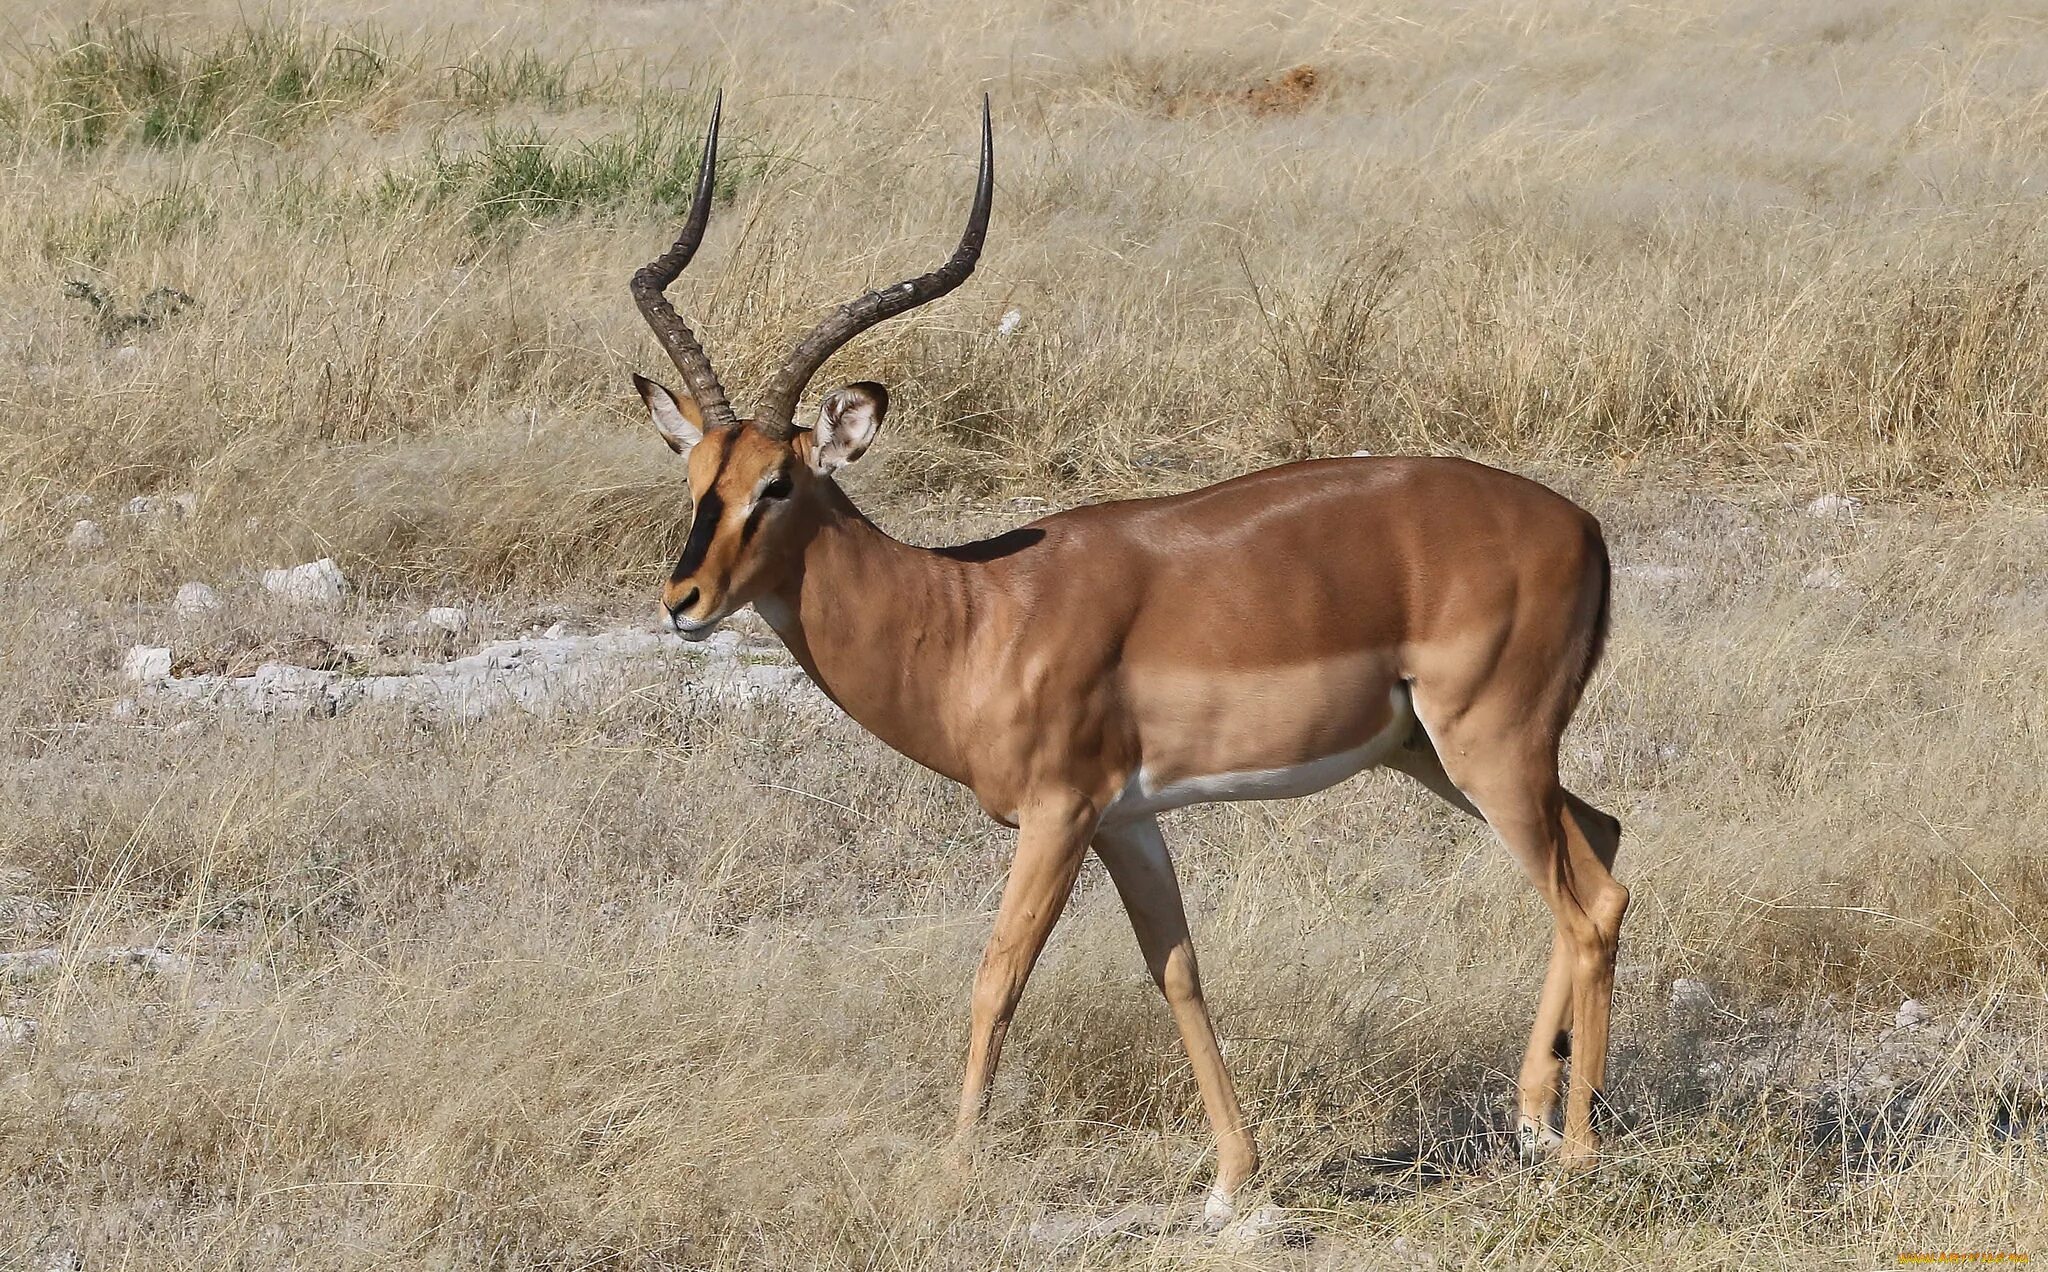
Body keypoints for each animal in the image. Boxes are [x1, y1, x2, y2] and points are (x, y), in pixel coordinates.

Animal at [630, 94, 1622, 1212]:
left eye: (778, 484)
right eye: (696, 477)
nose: (683, 602)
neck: (976, 614)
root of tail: (1582, 525)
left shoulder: (1058, 814)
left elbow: (997, 976)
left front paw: (954, 1169)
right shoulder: (1127, 823)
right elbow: (1176, 970)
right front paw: (1233, 1180)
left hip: (1488, 748)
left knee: (1586, 907)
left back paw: (1576, 1149)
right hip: (1441, 755)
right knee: (1604, 844)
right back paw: (1532, 1119)